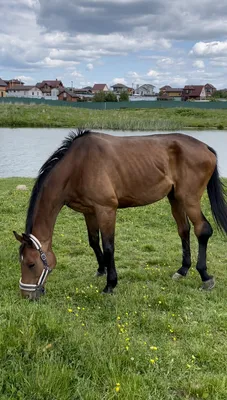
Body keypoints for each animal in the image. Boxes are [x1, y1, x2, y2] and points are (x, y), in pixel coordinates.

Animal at [13, 129, 227, 300]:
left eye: (31, 264)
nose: (26, 295)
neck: (78, 165)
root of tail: (205, 147)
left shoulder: (106, 209)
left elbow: (109, 246)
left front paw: (110, 284)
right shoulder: (90, 212)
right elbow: (94, 241)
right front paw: (102, 269)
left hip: (189, 198)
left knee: (202, 230)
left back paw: (205, 277)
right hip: (175, 197)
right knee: (184, 230)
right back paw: (182, 270)